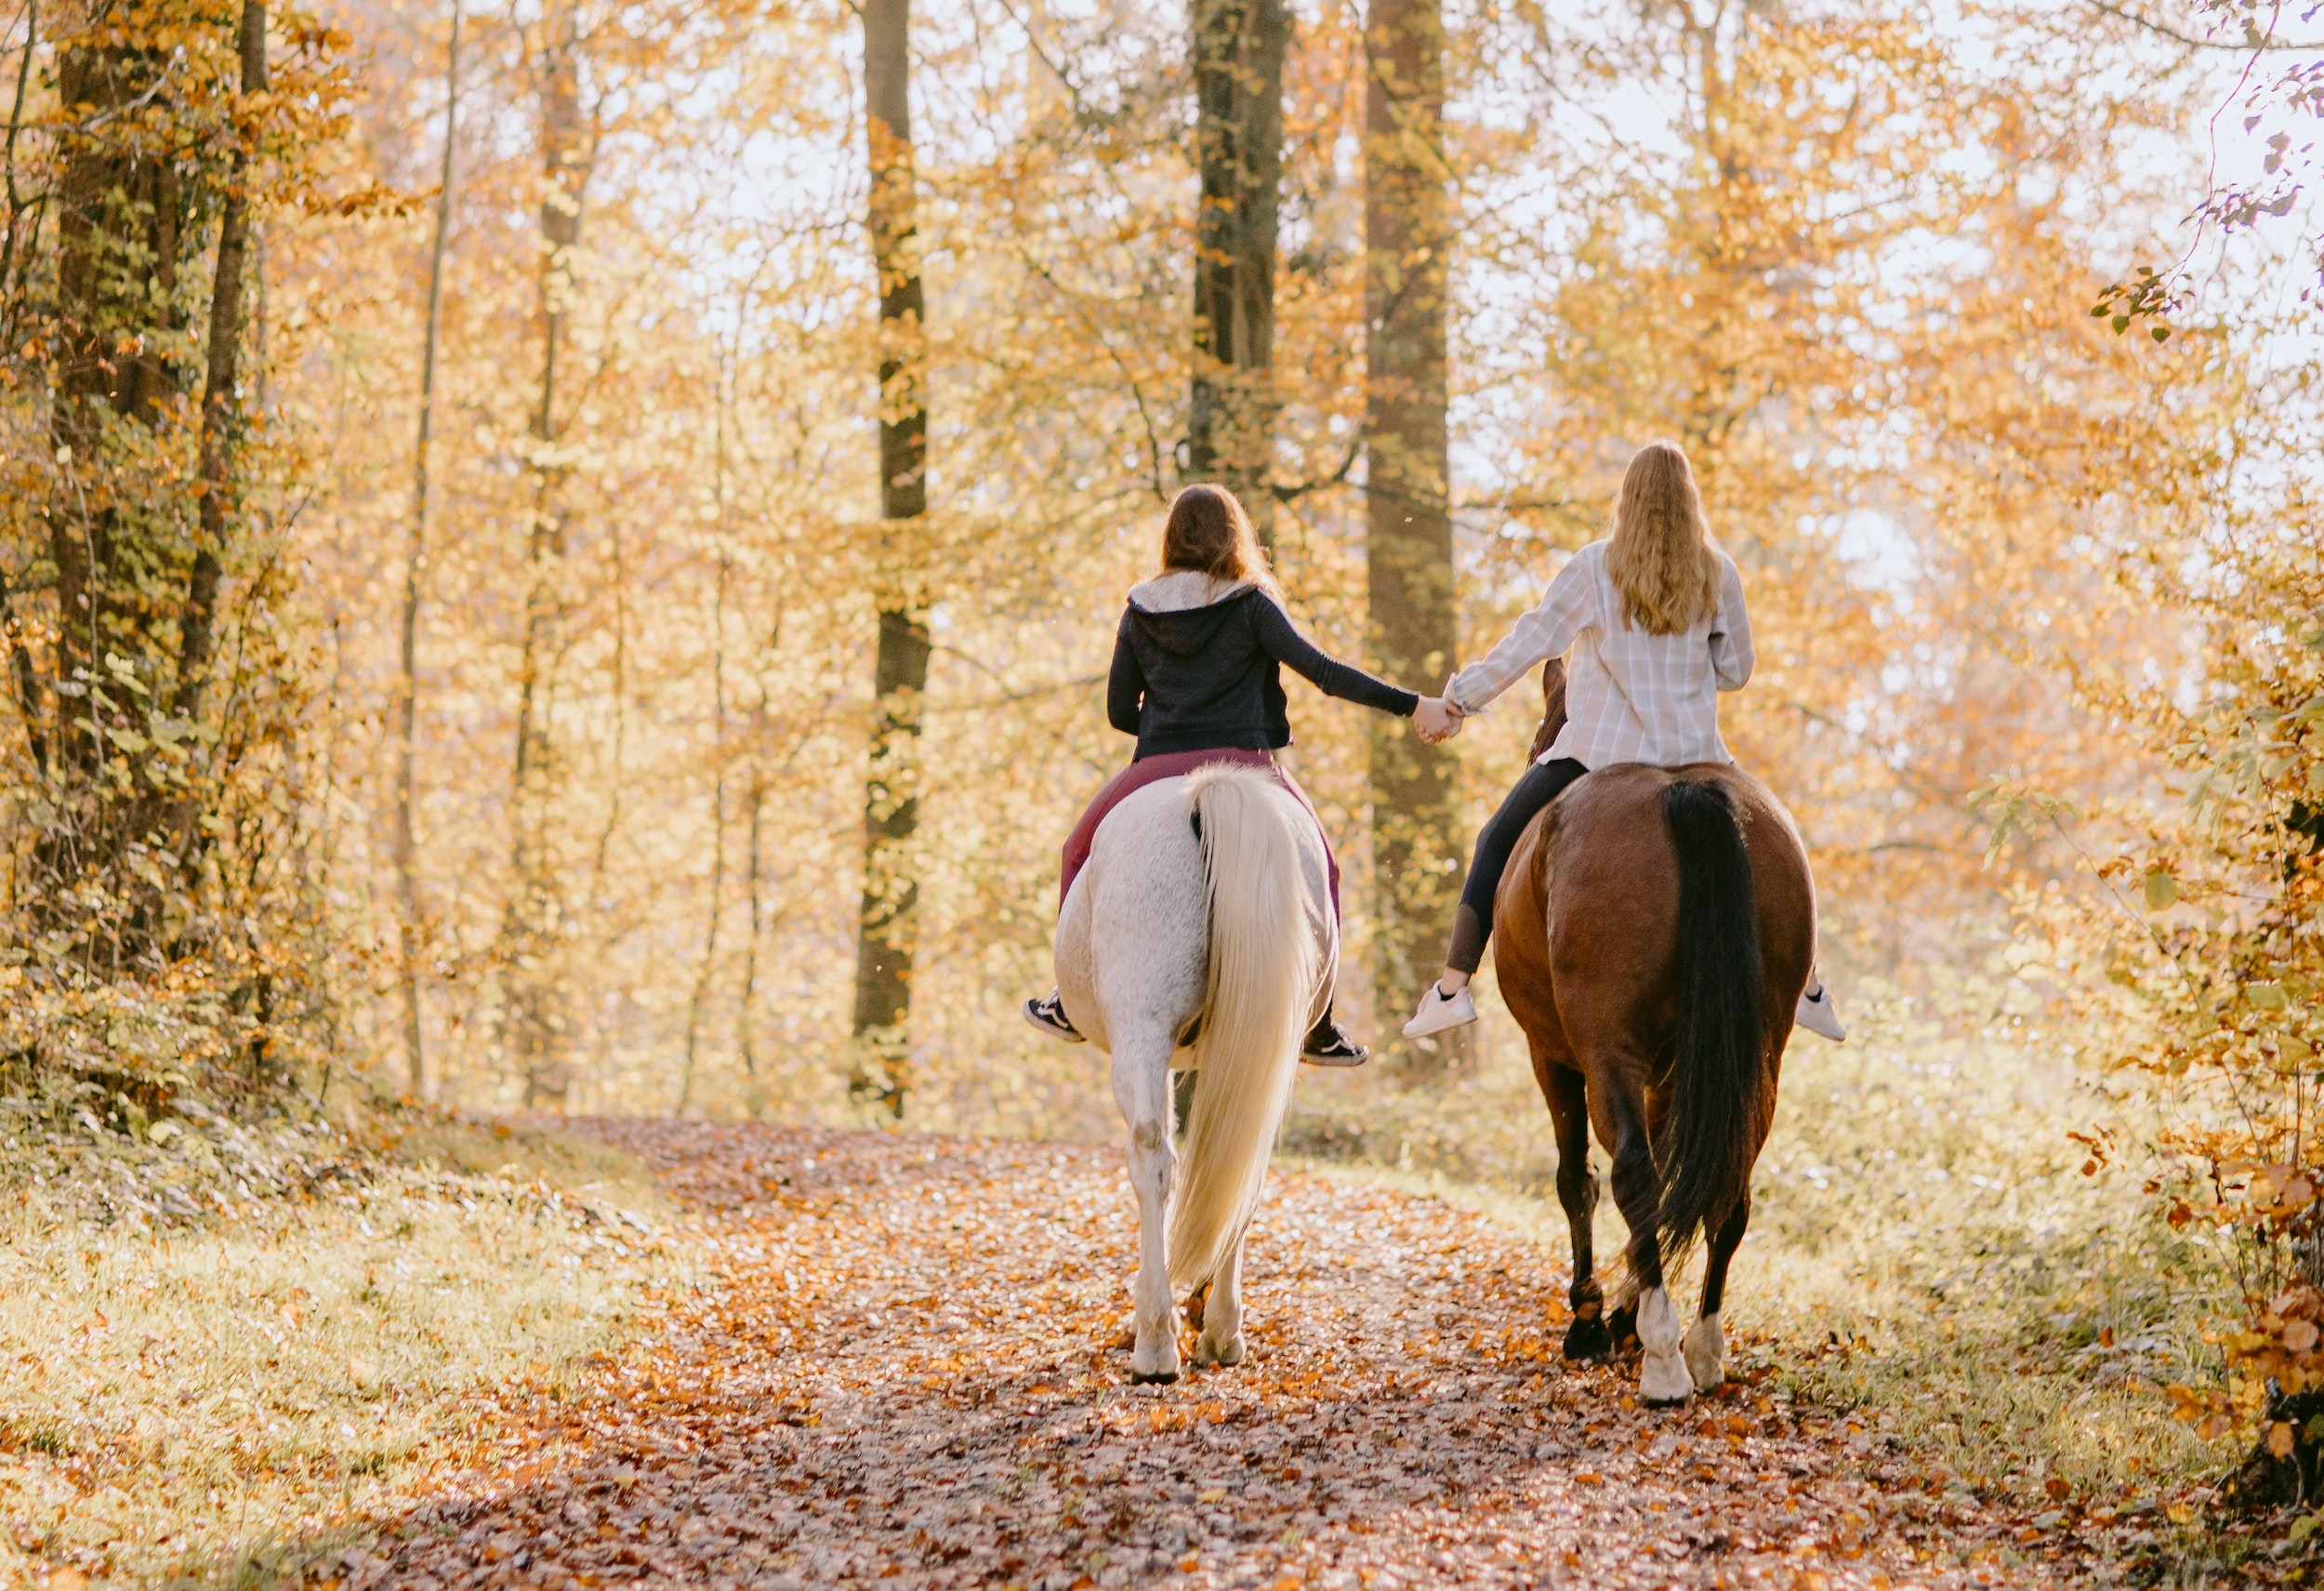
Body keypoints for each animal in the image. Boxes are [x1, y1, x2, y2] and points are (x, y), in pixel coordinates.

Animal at [1050, 762, 1329, 1376]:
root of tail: (1209, 791)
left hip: (1142, 1030)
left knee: (1153, 1159)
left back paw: (1155, 1341)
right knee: (1244, 1160)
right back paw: (1222, 1331)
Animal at [1487, 670, 1813, 1404]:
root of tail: (1682, 790)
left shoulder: (1552, 1056)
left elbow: (1576, 1180)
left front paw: (1591, 1319)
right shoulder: (1672, 1072)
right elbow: (1675, 1184)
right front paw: (1623, 1312)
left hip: (1606, 1051)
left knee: (1632, 1173)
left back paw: (1663, 1360)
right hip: (1754, 1054)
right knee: (1726, 1185)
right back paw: (1705, 1345)